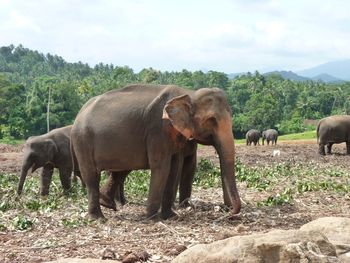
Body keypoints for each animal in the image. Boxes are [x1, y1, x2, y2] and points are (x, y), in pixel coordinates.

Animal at [71, 84, 241, 221]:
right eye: (211, 120)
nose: (227, 211)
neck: (188, 93)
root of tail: (79, 114)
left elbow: (174, 168)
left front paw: (171, 216)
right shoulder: (158, 130)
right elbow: (161, 167)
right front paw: (152, 218)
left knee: (118, 171)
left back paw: (107, 204)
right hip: (83, 141)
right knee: (92, 176)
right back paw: (98, 218)